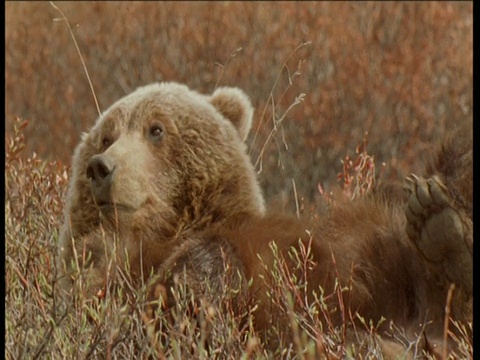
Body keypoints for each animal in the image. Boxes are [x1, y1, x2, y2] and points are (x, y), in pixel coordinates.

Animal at [57, 82, 472, 358]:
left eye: (156, 128)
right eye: (106, 136)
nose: (101, 167)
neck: (171, 228)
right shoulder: (110, 271)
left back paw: (442, 231)